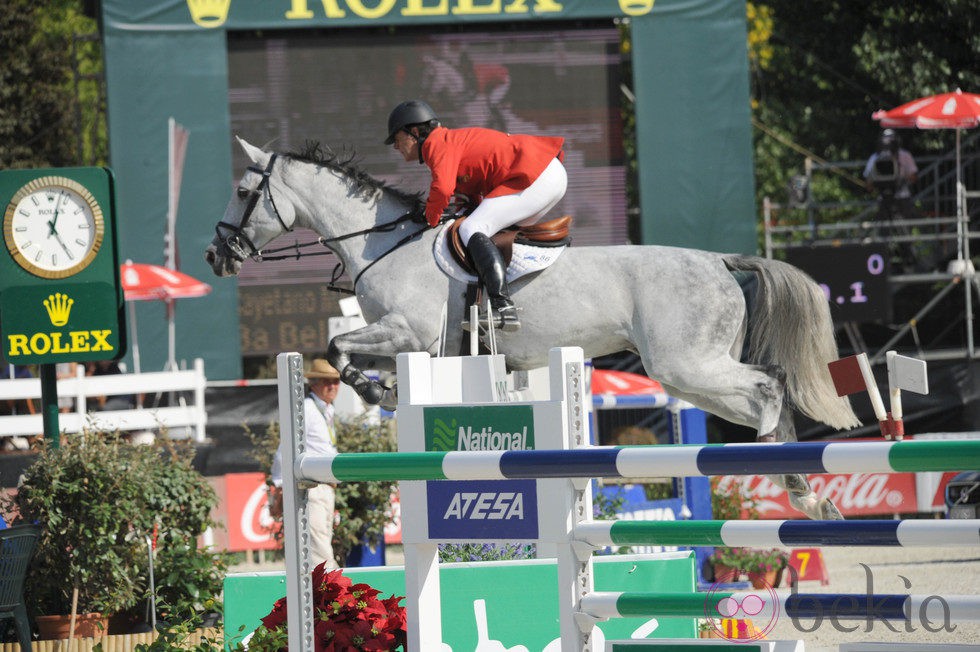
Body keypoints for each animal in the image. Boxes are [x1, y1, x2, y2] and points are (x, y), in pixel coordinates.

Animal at [205, 138, 856, 520]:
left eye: (242, 191)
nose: (216, 255)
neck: (380, 242)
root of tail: (721, 261)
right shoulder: (415, 344)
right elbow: (340, 350)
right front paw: (378, 390)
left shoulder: (410, 335)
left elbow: (338, 345)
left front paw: (377, 391)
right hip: (688, 374)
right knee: (763, 397)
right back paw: (809, 493)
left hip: (687, 365)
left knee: (769, 387)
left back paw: (793, 485)